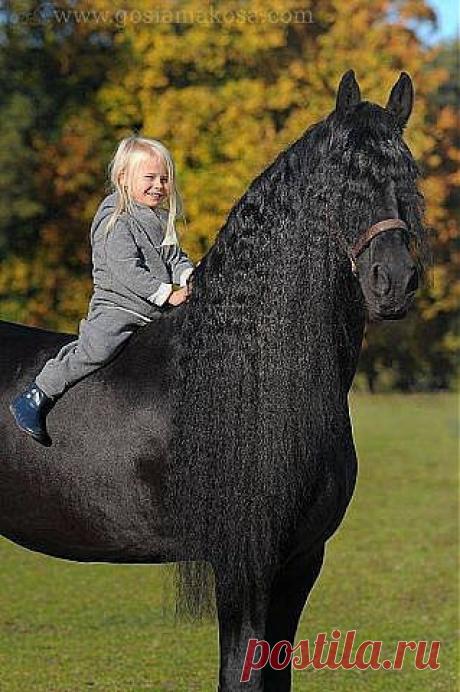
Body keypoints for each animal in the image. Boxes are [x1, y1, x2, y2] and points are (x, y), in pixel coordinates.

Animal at [0, 70, 427, 690]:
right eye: (343, 179)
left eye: (408, 177)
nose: (393, 281)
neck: (253, 382)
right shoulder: (243, 566)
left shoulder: (301, 563)